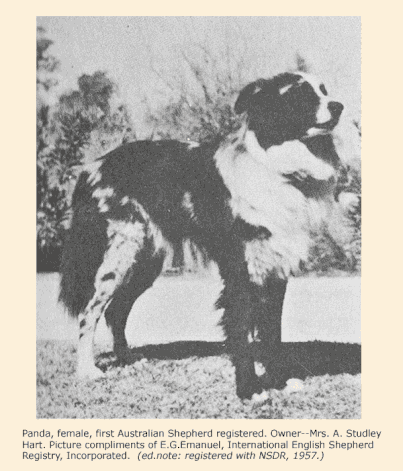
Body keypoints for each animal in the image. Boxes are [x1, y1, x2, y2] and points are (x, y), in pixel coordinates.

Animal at [59, 71, 344, 402]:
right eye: (300, 94)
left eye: (325, 90)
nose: (339, 106)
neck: (277, 169)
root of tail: (90, 167)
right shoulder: (240, 271)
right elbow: (242, 332)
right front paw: (249, 390)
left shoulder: (276, 268)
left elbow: (273, 332)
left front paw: (279, 380)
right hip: (118, 257)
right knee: (89, 313)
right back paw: (87, 370)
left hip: (144, 262)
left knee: (116, 311)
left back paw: (127, 358)